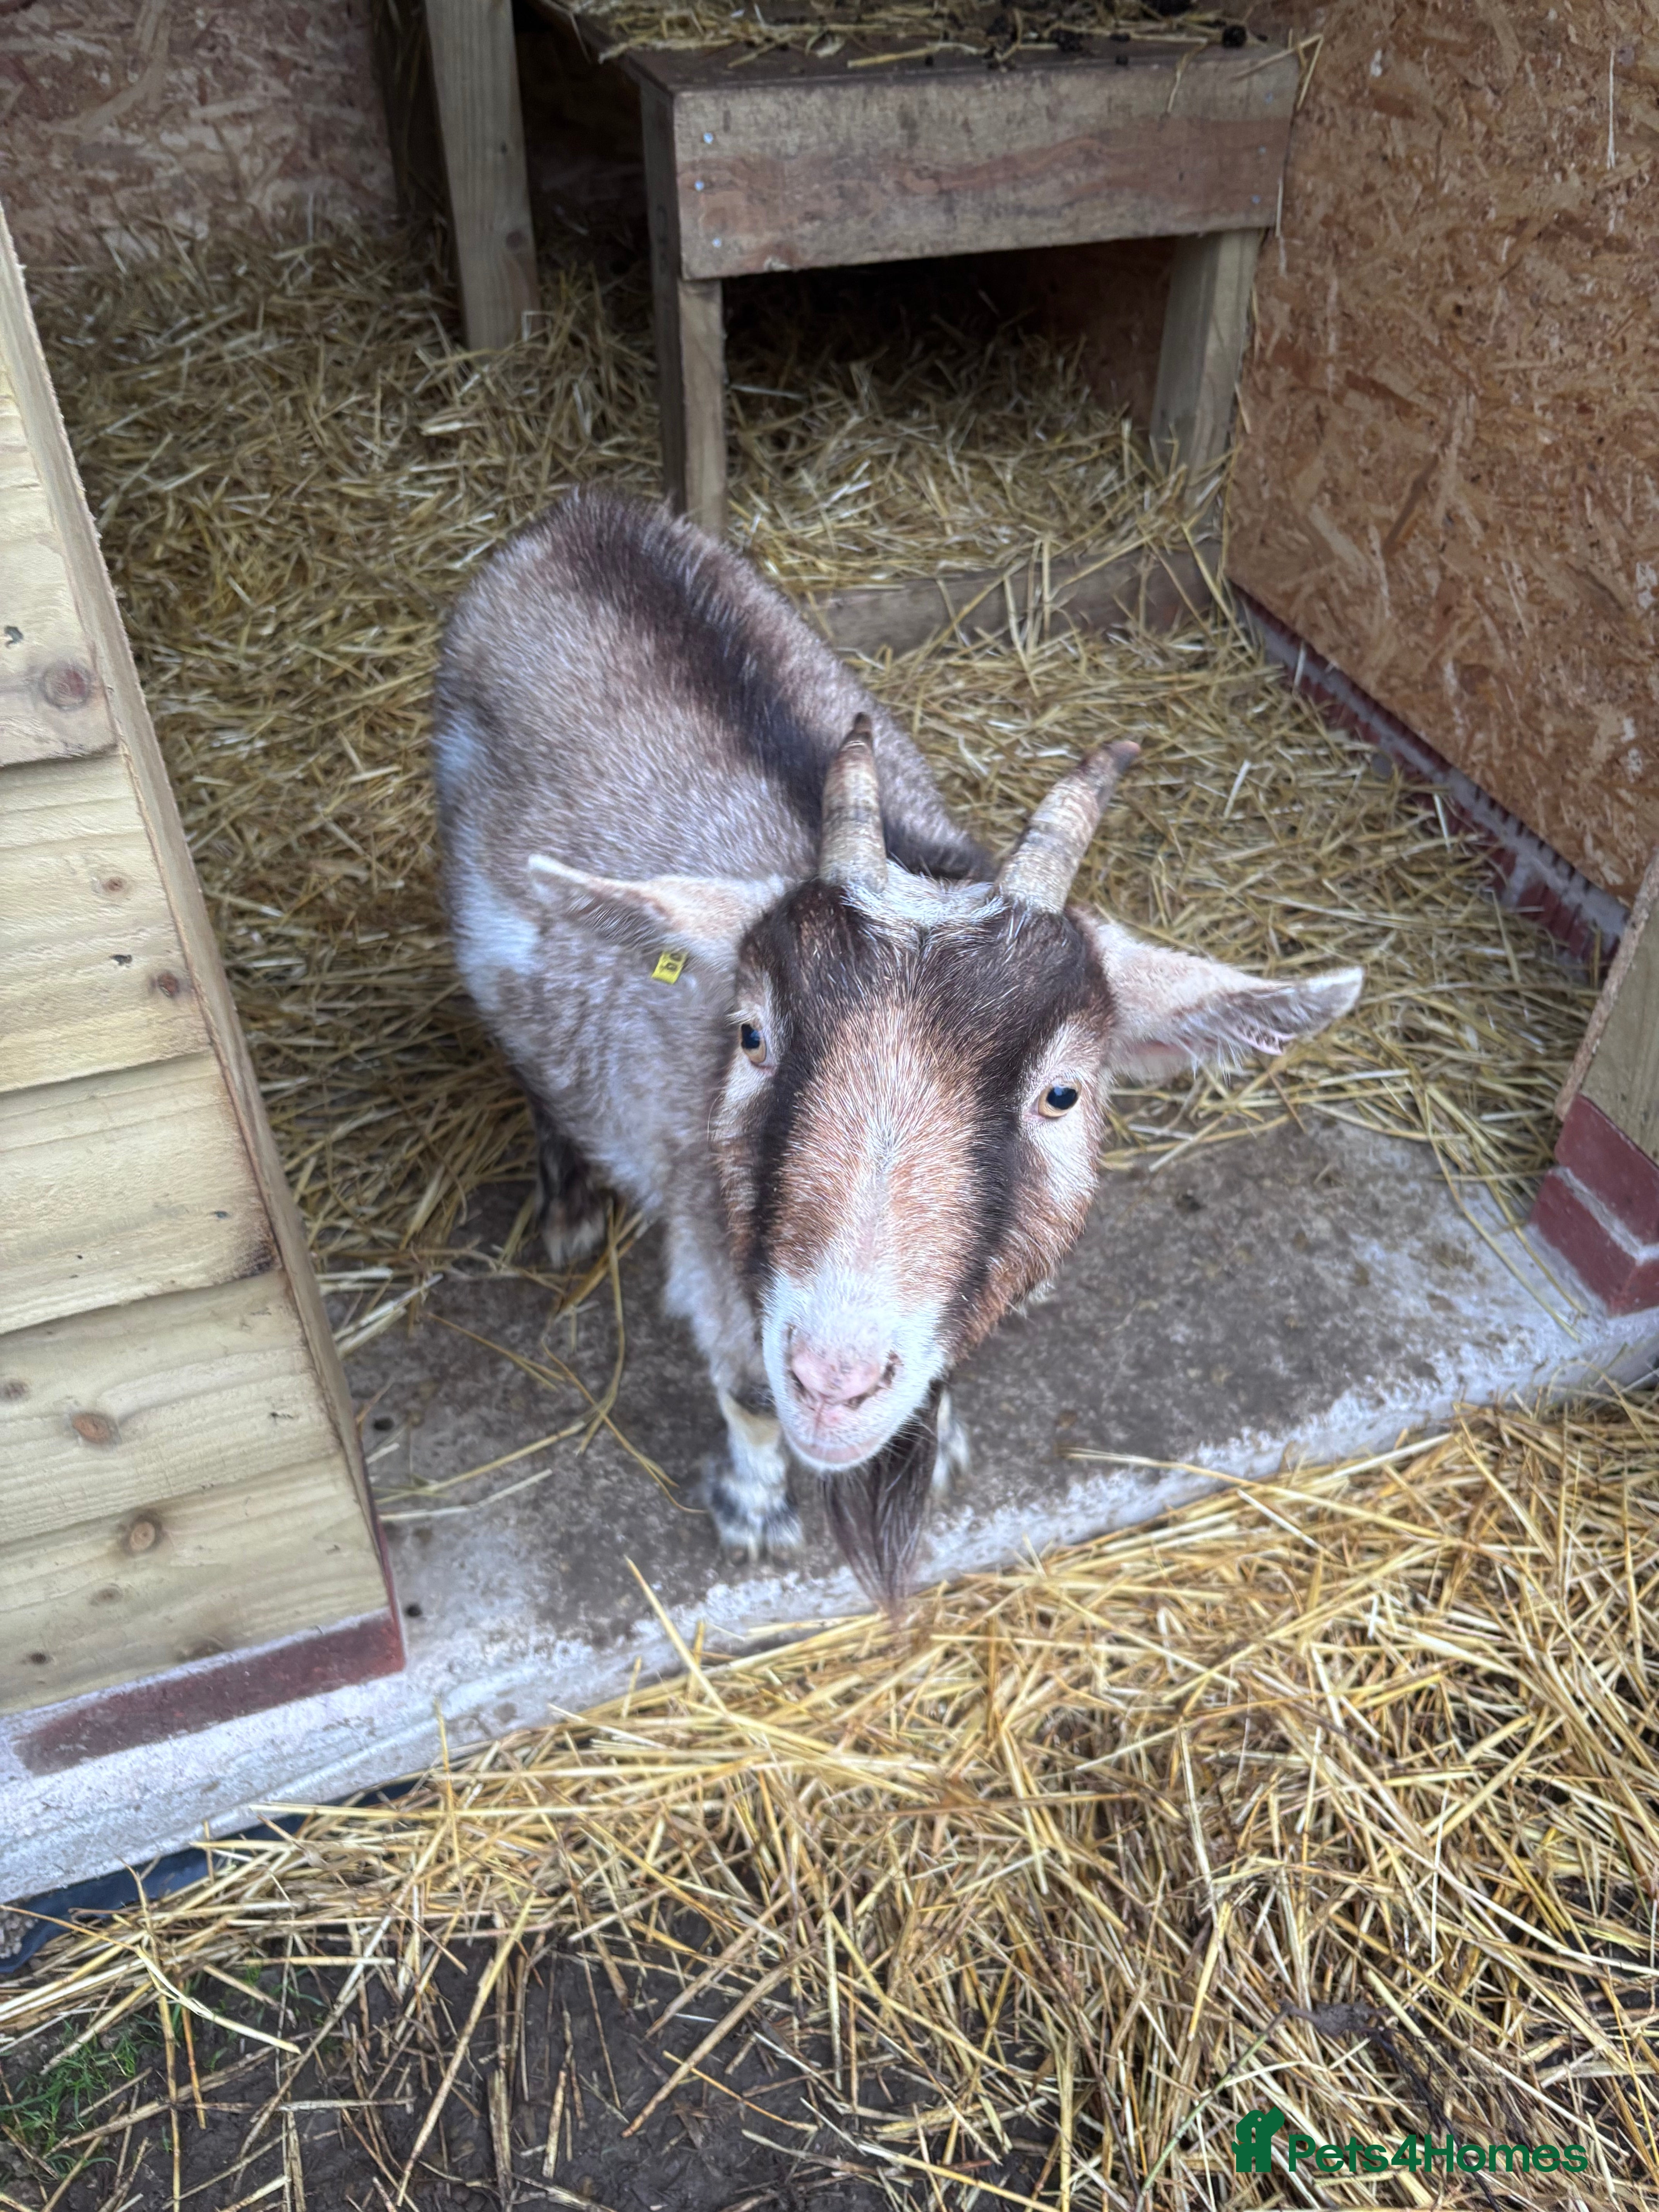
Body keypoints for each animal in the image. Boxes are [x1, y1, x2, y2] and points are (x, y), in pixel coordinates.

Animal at [432, 492, 1362, 1600]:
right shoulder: (711, 1242)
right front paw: (755, 1512)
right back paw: (568, 1207)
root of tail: (579, 517)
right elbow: (746, 1389)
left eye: (1063, 1094)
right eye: (752, 1037)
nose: (835, 1383)